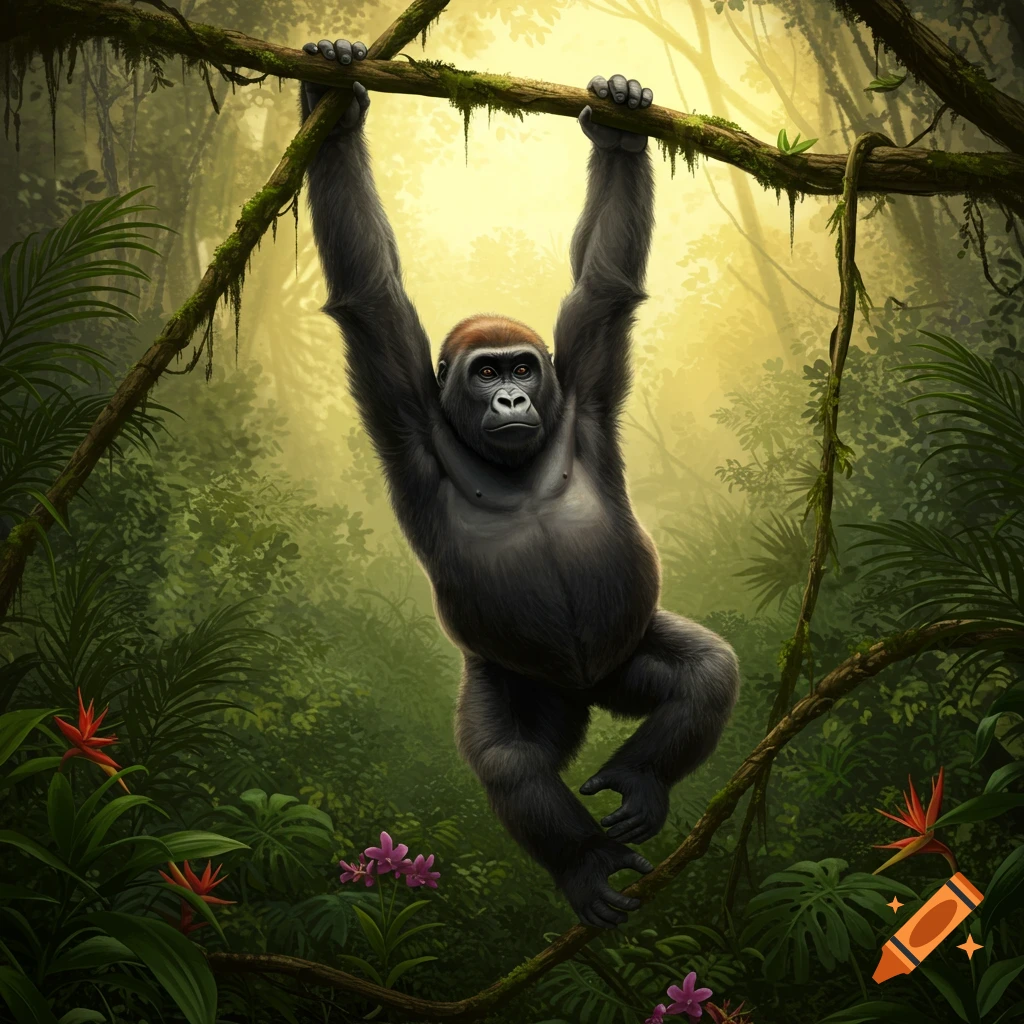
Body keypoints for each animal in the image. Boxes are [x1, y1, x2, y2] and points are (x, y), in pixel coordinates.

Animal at [299, 39, 740, 927]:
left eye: (524, 369)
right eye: (486, 371)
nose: (510, 399)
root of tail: (588, 695)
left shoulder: (584, 381)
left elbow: (605, 284)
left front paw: (619, 122)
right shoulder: (406, 410)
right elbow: (368, 293)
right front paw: (332, 100)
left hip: (625, 655)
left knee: (706, 672)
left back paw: (641, 776)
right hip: (523, 682)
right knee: (512, 762)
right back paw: (582, 862)